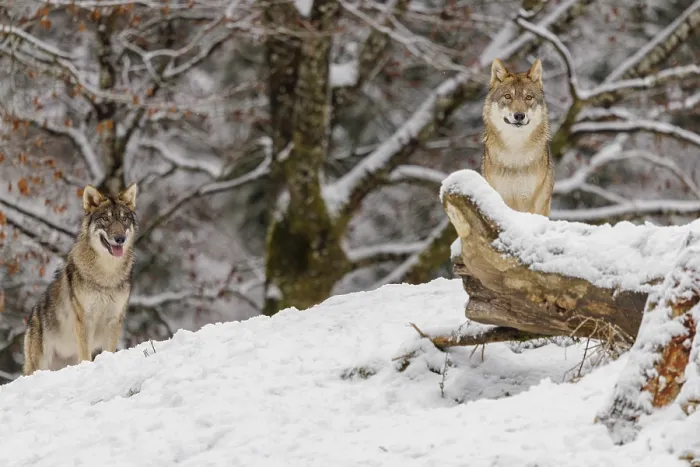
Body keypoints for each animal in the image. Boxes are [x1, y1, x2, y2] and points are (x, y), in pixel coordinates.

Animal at [23, 183, 138, 376]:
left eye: (124, 219)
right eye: (105, 219)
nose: (120, 239)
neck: (107, 274)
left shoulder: (114, 320)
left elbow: (109, 350)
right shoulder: (85, 320)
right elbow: (86, 355)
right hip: (39, 364)